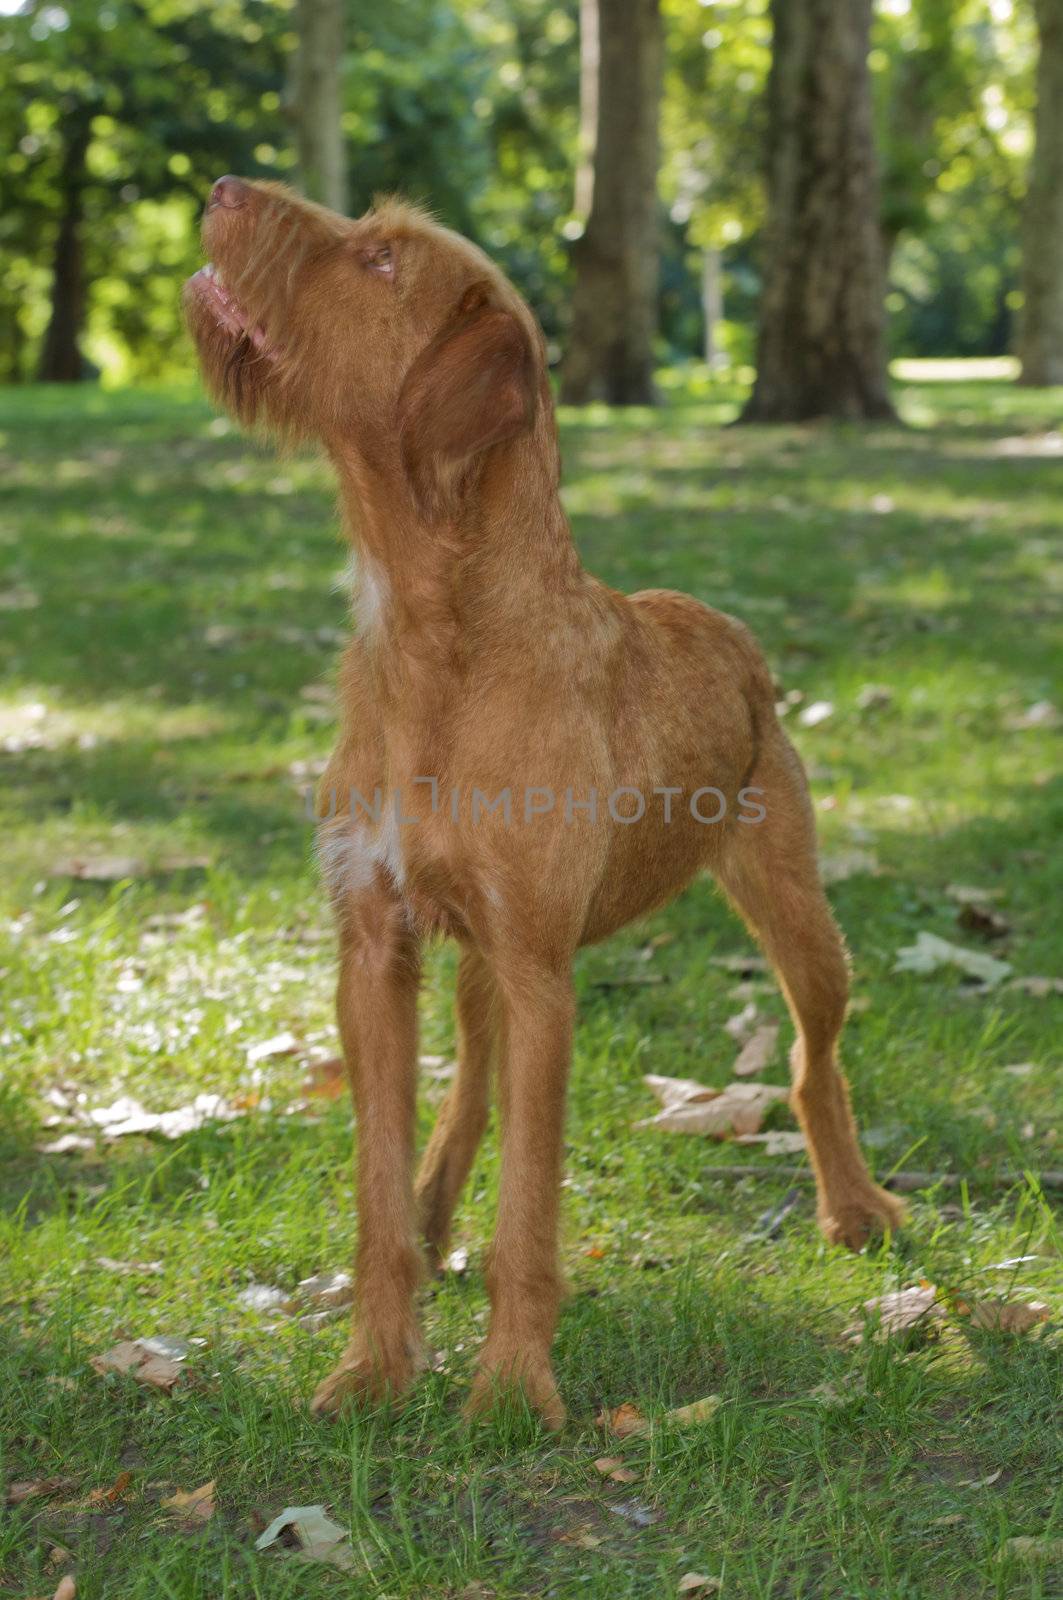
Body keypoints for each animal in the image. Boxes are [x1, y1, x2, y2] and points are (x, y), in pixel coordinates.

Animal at [186, 175, 902, 1427]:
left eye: (379, 260)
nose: (224, 186)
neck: (436, 642)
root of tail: (729, 628)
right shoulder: (374, 948)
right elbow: (378, 1194)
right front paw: (375, 1366)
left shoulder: (539, 972)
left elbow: (530, 1211)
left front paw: (514, 1390)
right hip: (481, 963)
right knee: (469, 1087)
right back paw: (435, 1211)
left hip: (799, 917)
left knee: (814, 1065)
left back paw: (855, 1207)